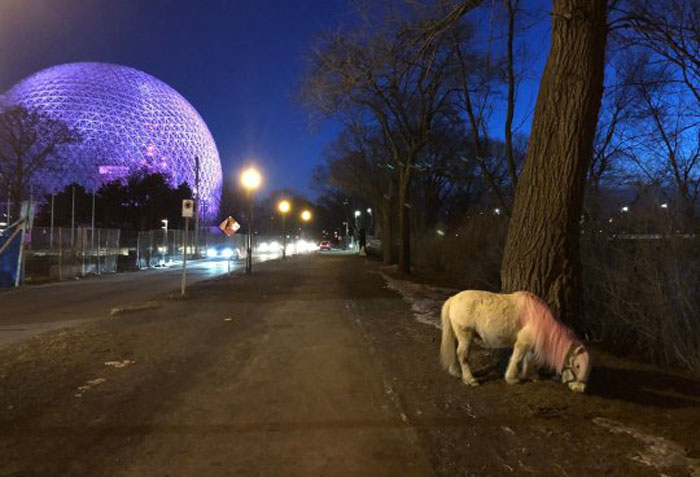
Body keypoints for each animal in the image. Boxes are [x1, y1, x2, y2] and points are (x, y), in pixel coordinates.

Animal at [442, 288, 592, 392]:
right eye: (577, 365)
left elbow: (529, 360)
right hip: (465, 334)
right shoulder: (522, 343)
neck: (539, 320)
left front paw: (531, 376)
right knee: (462, 354)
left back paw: (456, 371)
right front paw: (512, 379)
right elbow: (517, 359)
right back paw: (470, 379)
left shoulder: (530, 345)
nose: (581, 389)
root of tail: (453, 299)